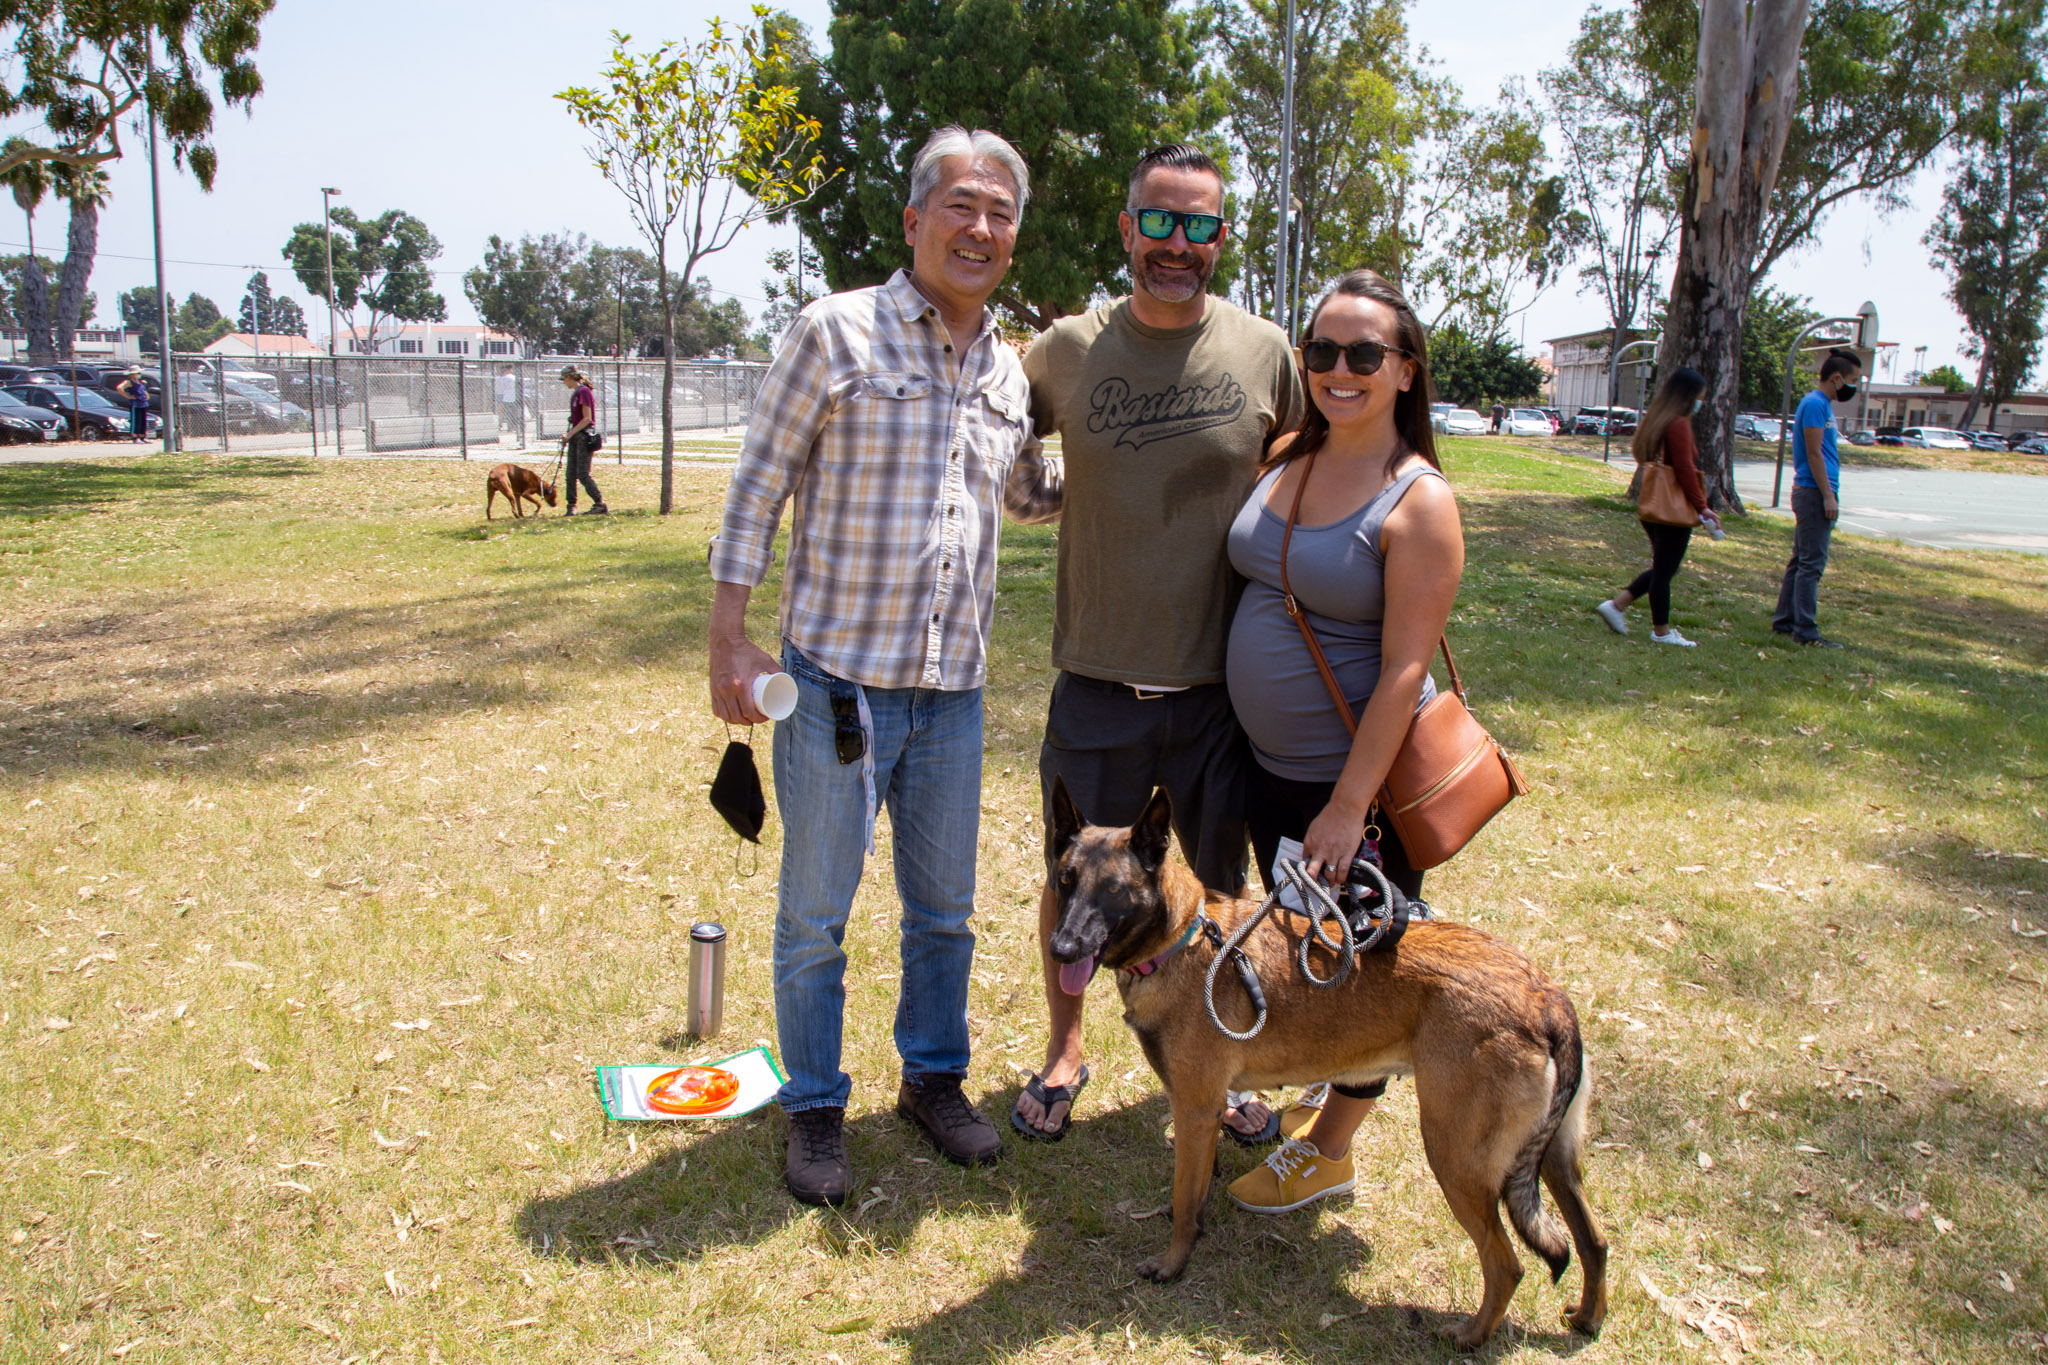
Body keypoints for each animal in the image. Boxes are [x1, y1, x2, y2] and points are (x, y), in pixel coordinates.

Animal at [1048, 777, 1605, 1358]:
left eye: (1114, 890)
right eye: (1065, 880)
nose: (1060, 949)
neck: (1184, 935)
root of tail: (1546, 997)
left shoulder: (1195, 1110)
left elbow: (1183, 1199)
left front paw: (1173, 1262)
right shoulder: (1201, 1115)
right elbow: (1195, 1191)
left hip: (1456, 1159)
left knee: (1507, 1264)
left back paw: (1470, 1335)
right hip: (1551, 1160)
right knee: (1594, 1240)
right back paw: (1587, 1318)